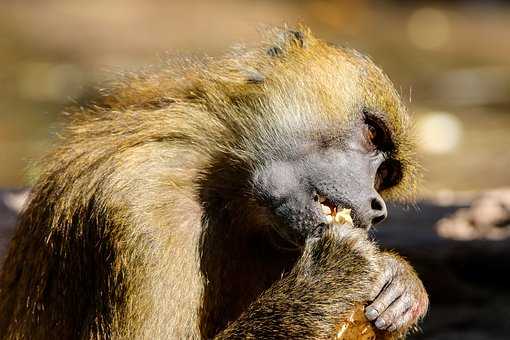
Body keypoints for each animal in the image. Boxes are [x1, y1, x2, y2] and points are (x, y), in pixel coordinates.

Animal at [0, 27, 428, 340]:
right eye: (372, 134)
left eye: (386, 175)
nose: (377, 207)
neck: (217, 186)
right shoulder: (146, 210)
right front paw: (327, 280)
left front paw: (399, 283)